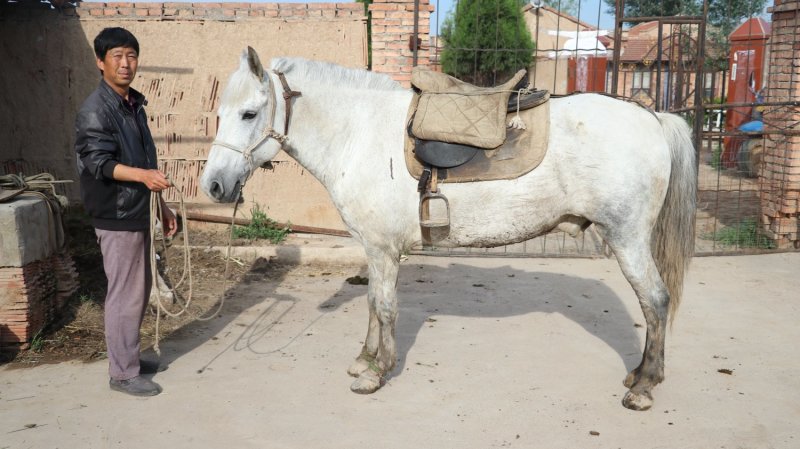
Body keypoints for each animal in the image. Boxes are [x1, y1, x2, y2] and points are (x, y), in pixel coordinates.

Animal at [199, 47, 697, 411]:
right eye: (221, 113)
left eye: (248, 114)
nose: (215, 185)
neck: (359, 134)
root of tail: (653, 118)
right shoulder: (374, 249)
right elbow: (372, 303)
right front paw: (365, 359)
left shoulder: (383, 249)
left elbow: (384, 306)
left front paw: (376, 373)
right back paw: (639, 374)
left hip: (628, 238)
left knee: (655, 301)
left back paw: (644, 386)